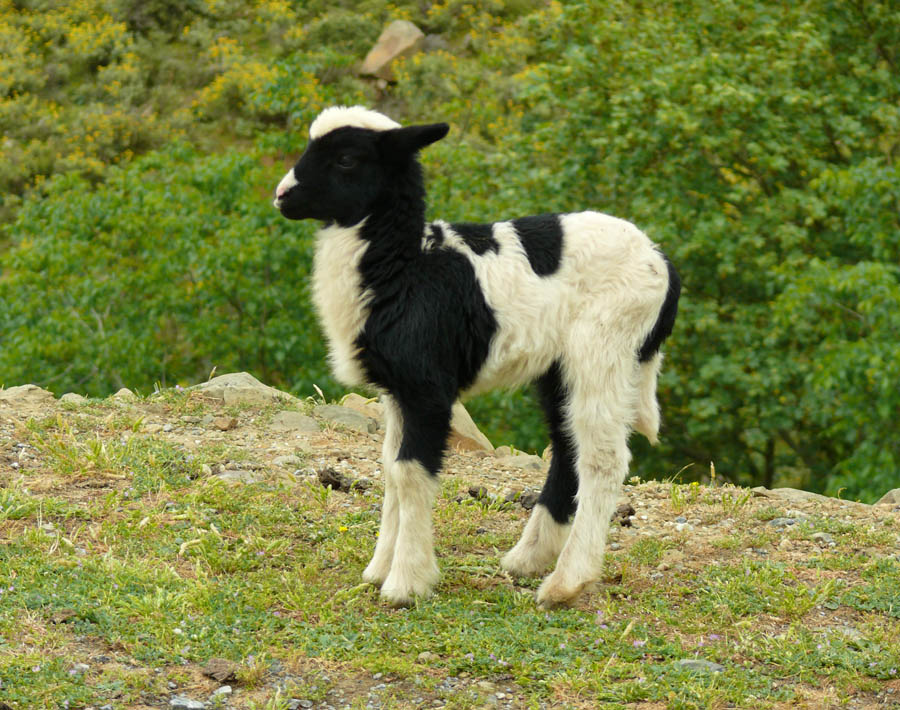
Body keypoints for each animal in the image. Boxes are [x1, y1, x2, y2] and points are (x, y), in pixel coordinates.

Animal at [270, 107, 680, 612]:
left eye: (347, 159)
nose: (282, 196)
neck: (407, 267)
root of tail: (663, 264)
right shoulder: (397, 388)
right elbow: (390, 469)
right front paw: (378, 570)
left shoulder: (428, 387)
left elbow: (410, 473)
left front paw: (406, 582)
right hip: (560, 367)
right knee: (567, 448)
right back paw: (528, 558)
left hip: (605, 348)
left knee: (602, 459)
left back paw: (566, 582)